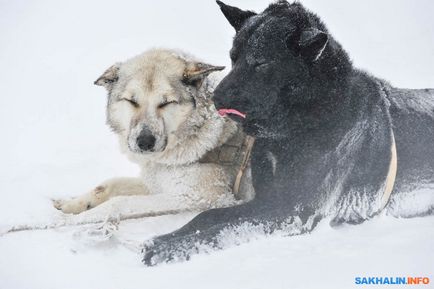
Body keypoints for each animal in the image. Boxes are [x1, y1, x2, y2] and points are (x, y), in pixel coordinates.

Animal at [52, 49, 253, 214]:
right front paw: (72, 204)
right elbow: (107, 185)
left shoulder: (200, 198)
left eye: (166, 103)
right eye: (132, 101)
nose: (145, 142)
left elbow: (117, 204)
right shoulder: (155, 182)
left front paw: (68, 222)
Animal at [142, 1, 434, 264]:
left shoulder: (293, 212)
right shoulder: (268, 200)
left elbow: (228, 229)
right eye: (233, 58)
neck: (292, 129)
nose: (216, 98)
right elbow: (209, 216)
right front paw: (168, 237)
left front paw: (170, 249)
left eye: (261, 63)